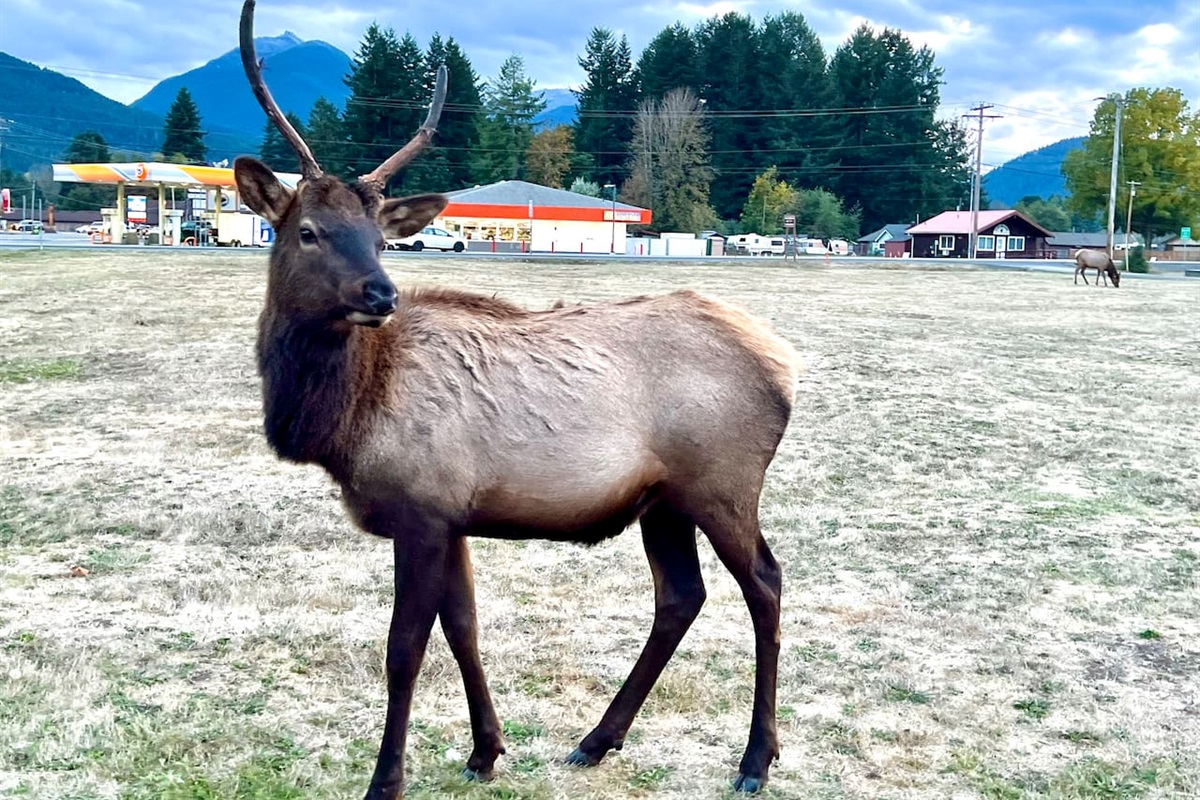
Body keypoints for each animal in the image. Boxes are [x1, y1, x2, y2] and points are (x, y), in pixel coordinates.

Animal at [233, 3, 802, 798]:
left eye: (379, 236)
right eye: (309, 231)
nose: (381, 293)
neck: (344, 423)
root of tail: (787, 366)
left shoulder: (423, 507)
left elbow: (404, 648)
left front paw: (387, 779)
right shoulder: (451, 516)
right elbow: (464, 628)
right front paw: (485, 750)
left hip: (723, 483)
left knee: (766, 586)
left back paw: (754, 760)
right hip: (665, 501)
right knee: (680, 597)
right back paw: (596, 740)